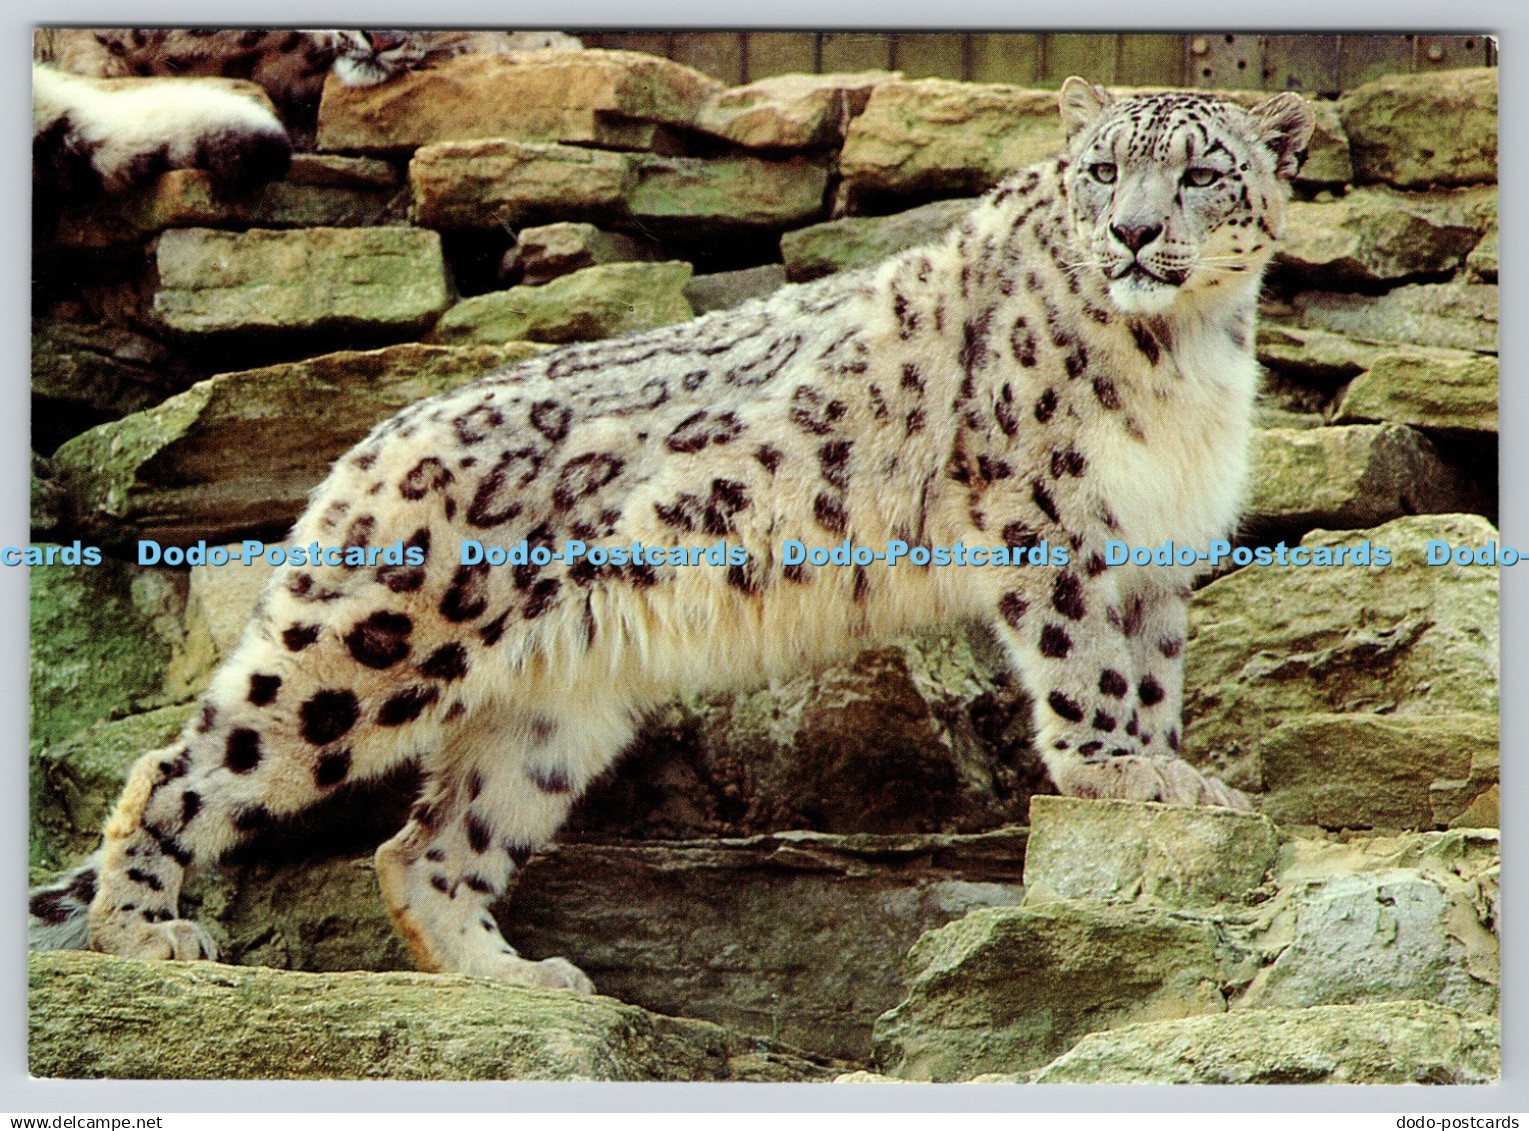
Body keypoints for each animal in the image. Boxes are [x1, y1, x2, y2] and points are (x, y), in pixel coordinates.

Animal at [29, 78, 1315, 994]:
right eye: (1101, 171)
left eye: (1200, 172)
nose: (1135, 234)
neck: (1185, 353)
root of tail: (373, 439)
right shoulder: (1048, 515)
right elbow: (1083, 666)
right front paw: (1121, 770)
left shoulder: (1155, 546)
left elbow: (1147, 672)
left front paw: (1174, 775)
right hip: (372, 647)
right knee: (188, 766)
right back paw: (148, 936)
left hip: (551, 718)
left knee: (428, 842)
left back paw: (514, 979)